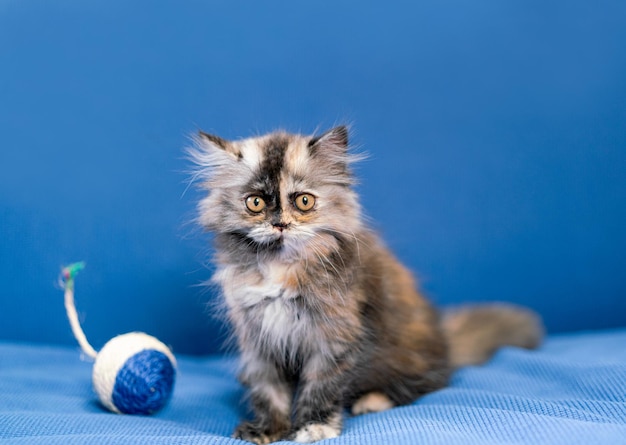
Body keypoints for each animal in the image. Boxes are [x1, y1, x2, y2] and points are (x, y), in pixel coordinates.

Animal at [189, 126, 540, 442]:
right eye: (255, 203)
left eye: (303, 202)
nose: (280, 225)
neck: (281, 265)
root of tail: (446, 343)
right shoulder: (258, 339)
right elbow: (268, 389)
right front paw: (268, 429)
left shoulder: (334, 336)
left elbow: (320, 387)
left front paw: (313, 426)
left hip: (408, 351)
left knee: (429, 382)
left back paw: (373, 400)